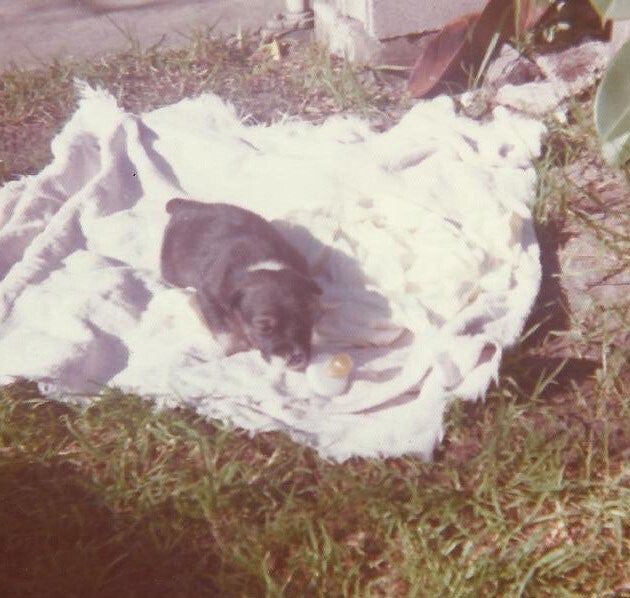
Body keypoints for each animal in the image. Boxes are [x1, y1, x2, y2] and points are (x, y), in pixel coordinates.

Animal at [161, 198, 322, 370]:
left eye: (307, 320)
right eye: (263, 327)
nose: (295, 358)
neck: (261, 263)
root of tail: (184, 206)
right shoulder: (208, 295)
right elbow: (224, 330)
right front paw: (237, 349)